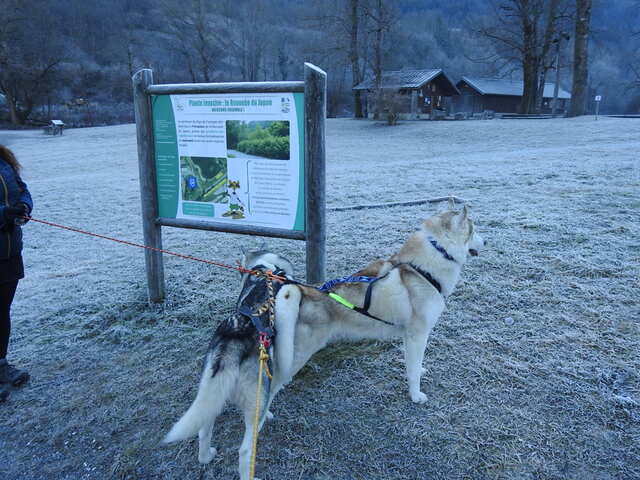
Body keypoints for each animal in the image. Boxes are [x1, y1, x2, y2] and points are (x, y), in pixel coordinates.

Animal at [165, 201, 484, 478]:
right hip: (288, 364)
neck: (425, 267)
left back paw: (207, 453)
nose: (486, 243)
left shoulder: (412, 337)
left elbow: (416, 365)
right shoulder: (417, 334)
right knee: (252, 429)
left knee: (206, 419)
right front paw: (416, 396)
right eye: (473, 229)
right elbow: (413, 372)